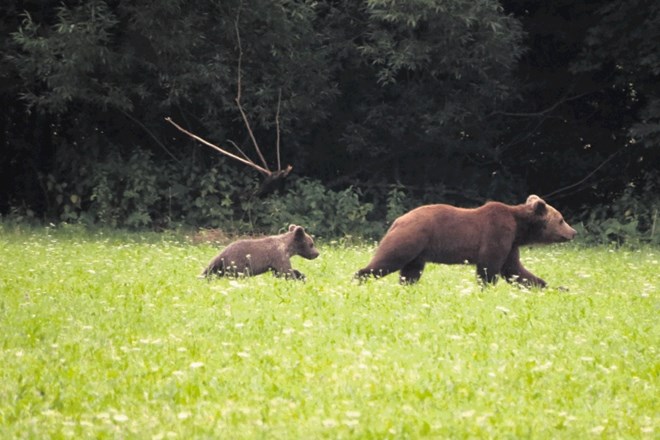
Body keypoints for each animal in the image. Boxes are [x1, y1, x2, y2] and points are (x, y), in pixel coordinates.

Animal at [356, 195, 576, 286]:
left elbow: (515, 270)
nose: (573, 232)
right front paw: (486, 287)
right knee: (387, 260)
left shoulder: (510, 244)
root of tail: (397, 220)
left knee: (410, 272)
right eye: (561, 219)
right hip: (411, 237)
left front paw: (553, 286)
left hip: (419, 251)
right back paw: (358, 279)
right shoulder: (497, 232)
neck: (519, 228)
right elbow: (489, 267)